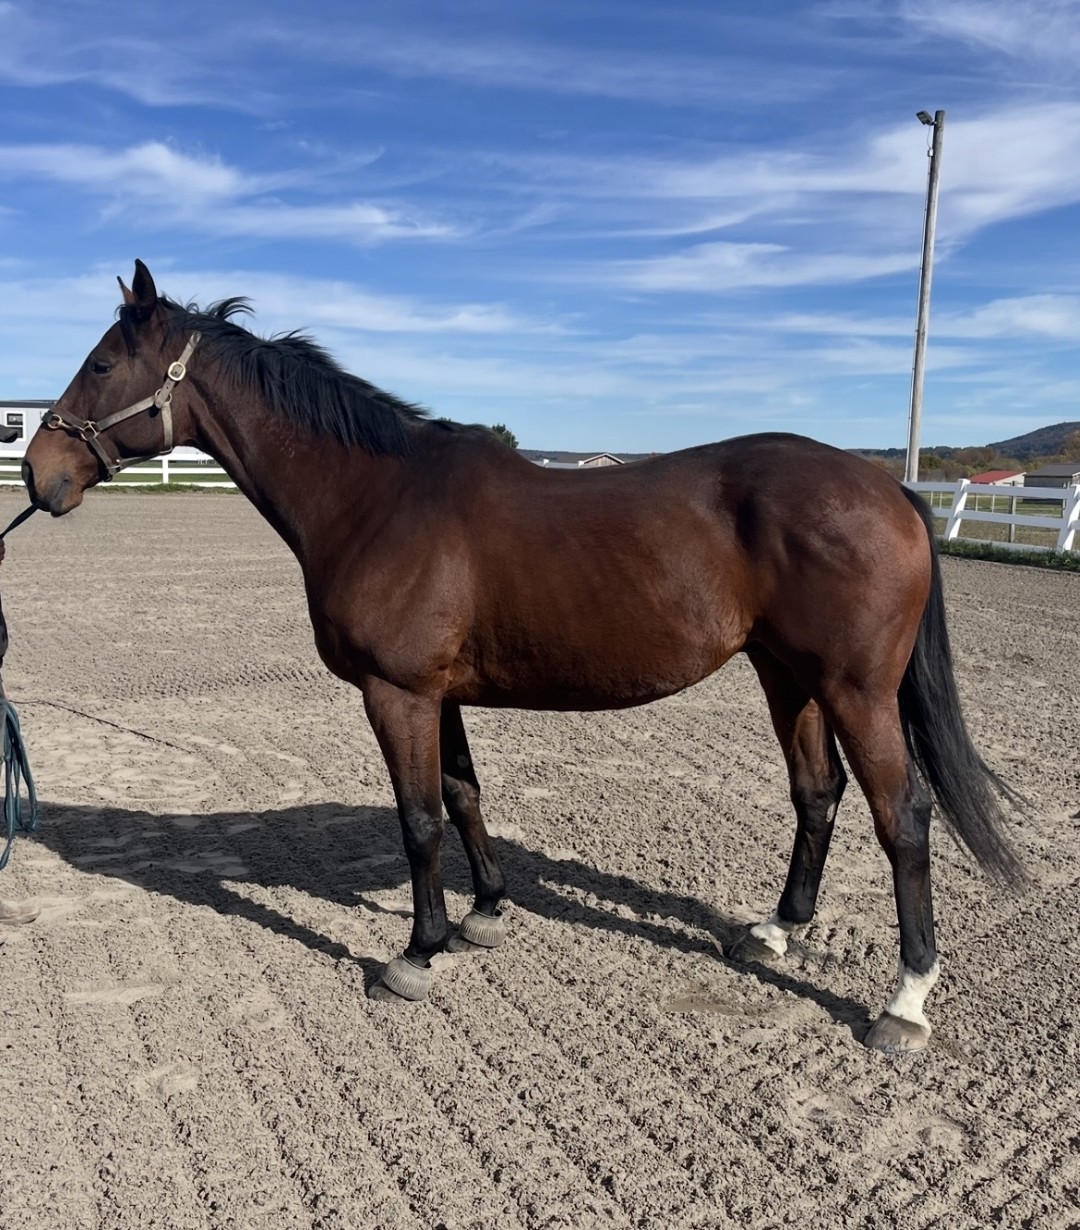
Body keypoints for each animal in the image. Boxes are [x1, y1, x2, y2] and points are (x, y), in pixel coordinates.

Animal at [22, 260, 1025, 1052]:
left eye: (102, 364)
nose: (39, 476)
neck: (375, 497)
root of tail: (889, 489)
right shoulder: (440, 695)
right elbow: (463, 795)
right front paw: (485, 915)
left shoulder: (397, 693)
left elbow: (419, 821)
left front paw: (415, 955)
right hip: (790, 677)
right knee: (817, 795)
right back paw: (773, 933)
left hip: (857, 690)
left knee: (903, 818)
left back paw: (903, 1003)